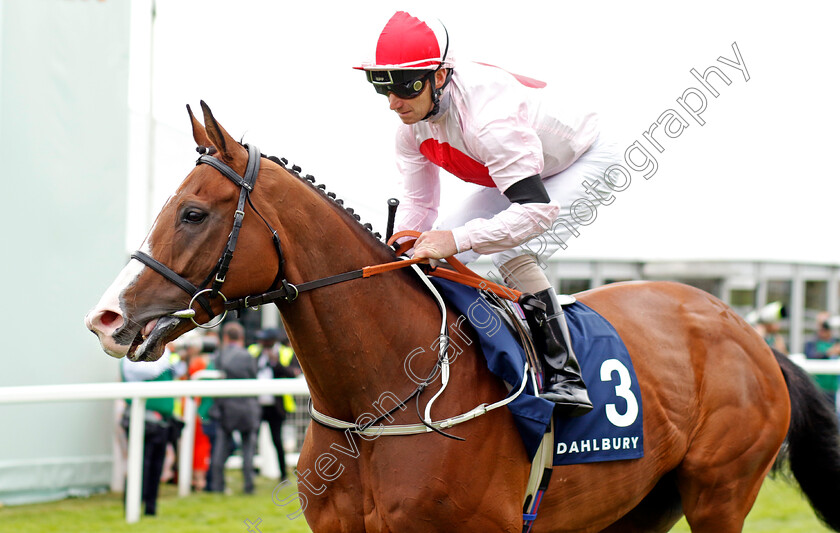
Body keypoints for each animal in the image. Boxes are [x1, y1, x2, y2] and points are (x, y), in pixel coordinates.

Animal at [87, 102, 840, 528]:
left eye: (192, 212)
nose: (106, 317)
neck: (377, 402)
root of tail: (753, 337)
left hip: (720, 490)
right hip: (640, 503)